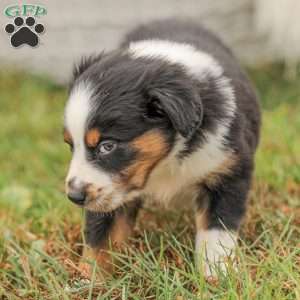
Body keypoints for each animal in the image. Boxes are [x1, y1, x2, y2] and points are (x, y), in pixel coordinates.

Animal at [62, 18, 260, 276]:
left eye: (107, 146)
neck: (166, 160)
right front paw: (89, 280)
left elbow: (216, 232)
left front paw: (216, 276)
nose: (74, 196)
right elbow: (99, 239)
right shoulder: (110, 194)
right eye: (70, 145)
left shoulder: (228, 171)